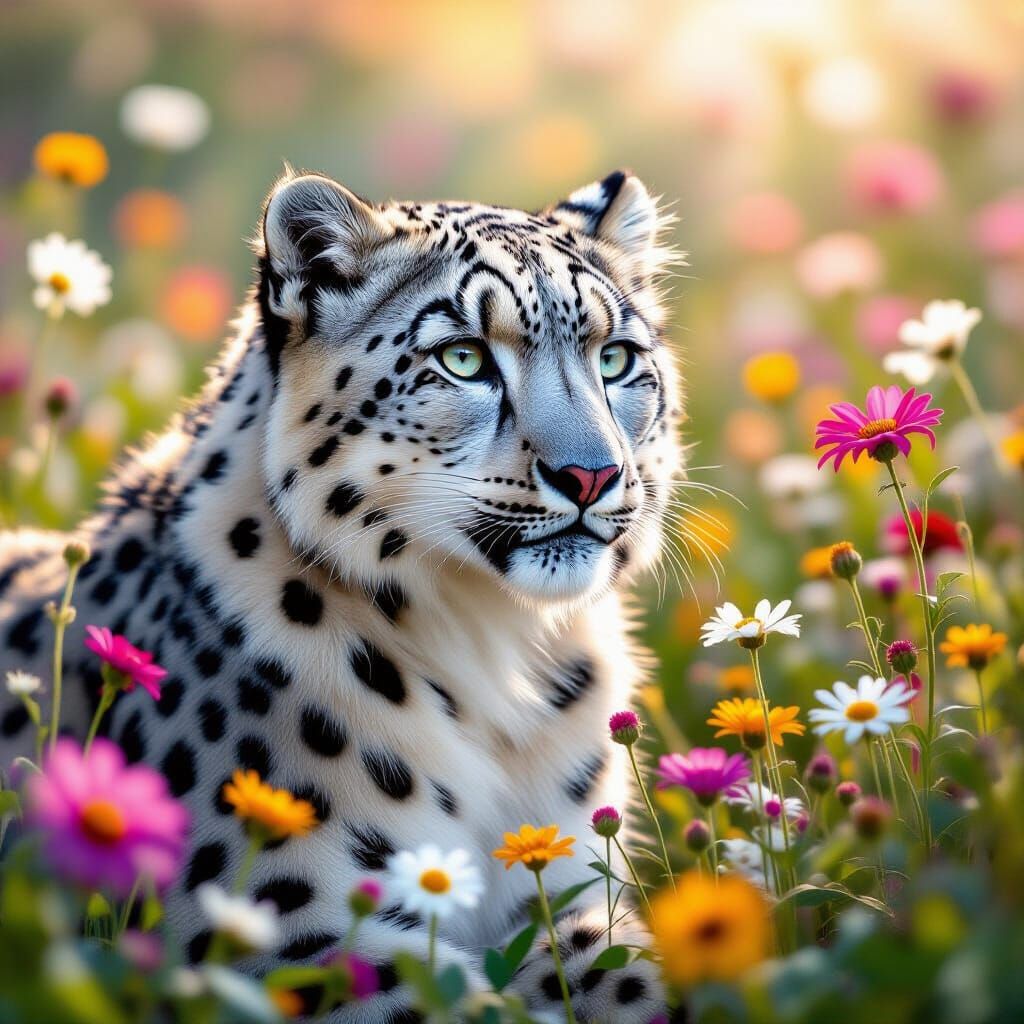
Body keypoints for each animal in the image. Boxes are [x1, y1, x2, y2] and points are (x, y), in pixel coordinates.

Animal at [0, 167, 684, 1022]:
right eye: (464, 358)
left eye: (617, 357)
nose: (592, 474)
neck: (495, 655)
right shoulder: (285, 927)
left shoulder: (564, 887)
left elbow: (626, 972)